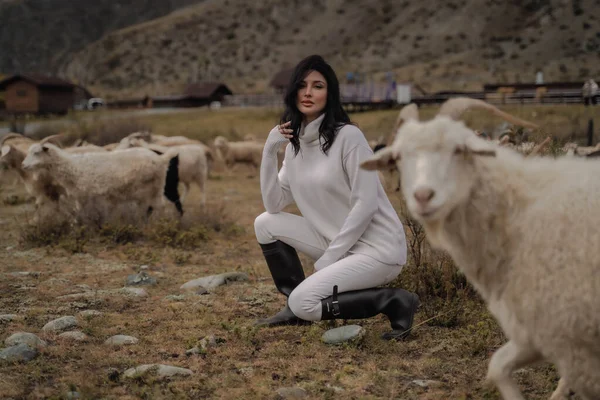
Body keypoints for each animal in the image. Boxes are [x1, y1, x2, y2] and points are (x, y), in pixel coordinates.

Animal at [21, 144, 183, 217]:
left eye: (36, 153)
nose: (23, 165)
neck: (73, 166)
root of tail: (161, 158)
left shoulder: (91, 196)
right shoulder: (82, 197)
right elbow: (79, 213)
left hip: (148, 189)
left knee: (157, 207)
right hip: (156, 188)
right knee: (157, 206)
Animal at [360, 97, 600, 400]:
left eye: (458, 149)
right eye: (399, 157)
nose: (423, 196)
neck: (517, 212)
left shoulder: (572, 340)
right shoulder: (536, 332)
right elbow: (497, 366)